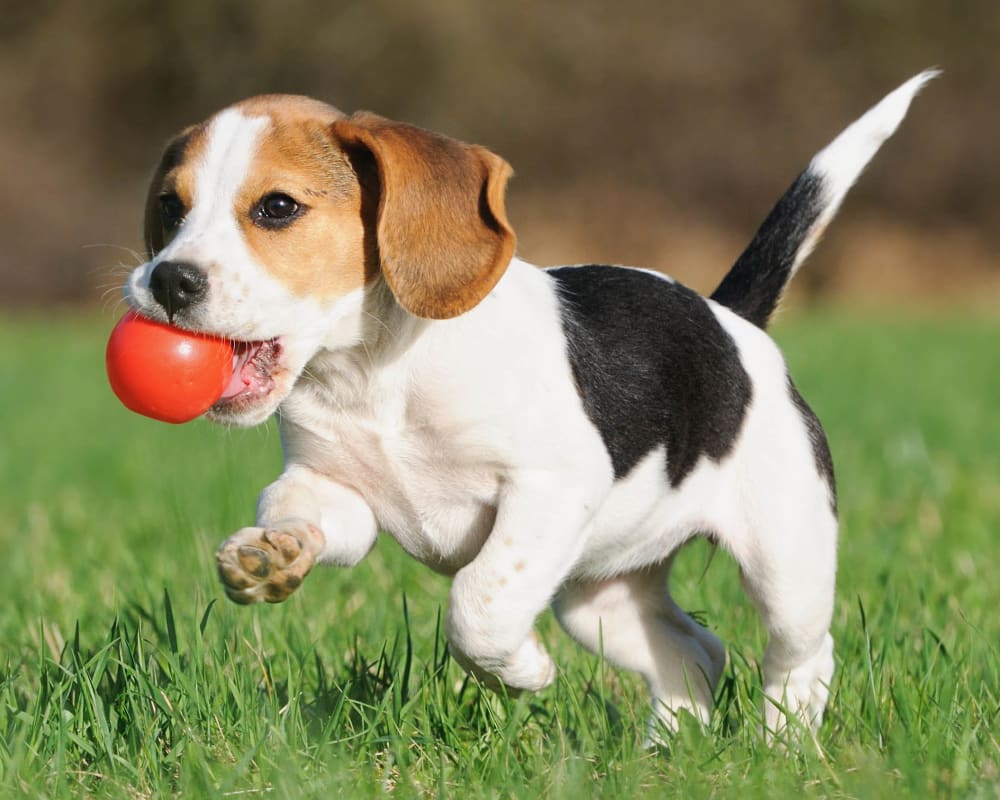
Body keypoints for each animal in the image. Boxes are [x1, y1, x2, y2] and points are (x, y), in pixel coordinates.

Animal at [125, 70, 936, 736]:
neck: (373, 375)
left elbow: (478, 604)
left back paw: (783, 747)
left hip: (786, 560)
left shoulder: (550, 487)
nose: (167, 281)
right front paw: (271, 555)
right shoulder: (337, 492)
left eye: (277, 207)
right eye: (169, 207)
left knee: (801, 657)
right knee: (696, 654)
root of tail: (729, 318)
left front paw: (522, 672)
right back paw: (665, 754)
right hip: (599, 597)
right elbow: (297, 509)